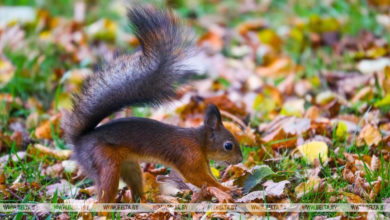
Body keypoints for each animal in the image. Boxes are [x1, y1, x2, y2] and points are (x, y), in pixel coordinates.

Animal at [62, 5, 242, 203]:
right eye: (228, 145)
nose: (240, 159)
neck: (199, 142)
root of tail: (79, 142)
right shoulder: (190, 158)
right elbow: (199, 178)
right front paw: (227, 190)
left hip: (129, 165)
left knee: (135, 190)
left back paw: (149, 203)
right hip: (104, 161)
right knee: (104, 194)